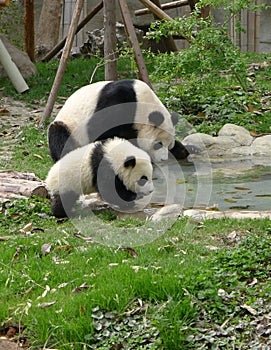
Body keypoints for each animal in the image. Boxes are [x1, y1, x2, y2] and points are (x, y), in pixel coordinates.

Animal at [48, 79, 189, 163]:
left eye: (169, 145)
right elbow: (100, 130)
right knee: (60, 136)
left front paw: (181, 150)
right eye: (158, 144)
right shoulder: (117, 101)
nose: (163, 159)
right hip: (69, 125)